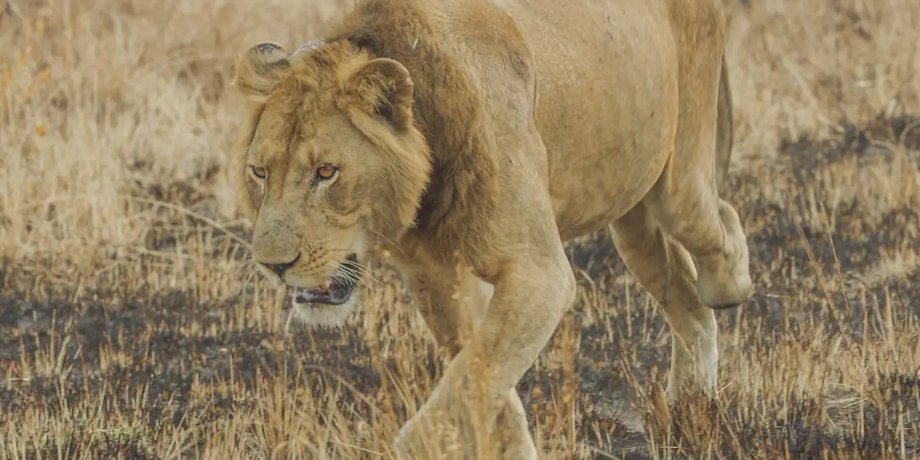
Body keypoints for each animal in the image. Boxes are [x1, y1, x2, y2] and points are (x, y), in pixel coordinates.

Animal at [232, 0, 753, 457]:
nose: (274, 265)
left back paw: (730, 293)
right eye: (259, 172)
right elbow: (482, 380)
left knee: (717, 223)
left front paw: (420, 447)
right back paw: (691, 410)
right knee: (688, 307)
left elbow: (473, 378)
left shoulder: (539, 272)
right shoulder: (439, 280)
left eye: (326, 172)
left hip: (678, 180)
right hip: (632, 216)